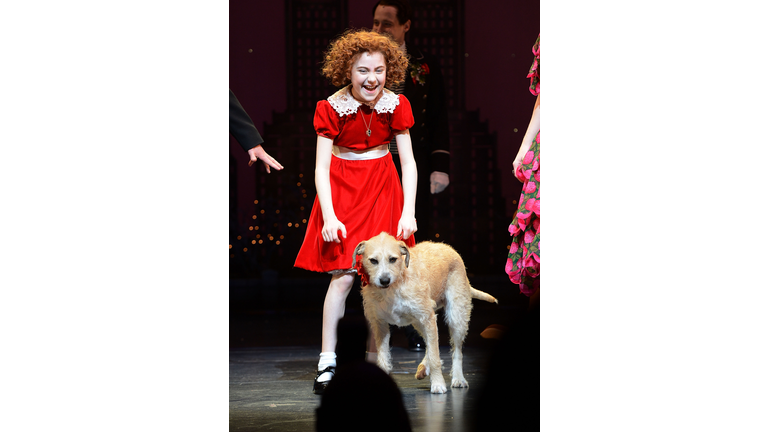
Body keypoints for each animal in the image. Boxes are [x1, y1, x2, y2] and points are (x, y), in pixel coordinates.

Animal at [354, 233, 498, 394]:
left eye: (393, 259)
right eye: (373, 261)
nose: (384, 280)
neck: (395, 284)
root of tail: (447, 247)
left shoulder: (427, 317)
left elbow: (435, 355)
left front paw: (438, 383)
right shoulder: (380, 325)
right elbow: (383, 357)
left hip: (456, 317)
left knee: (456, 351)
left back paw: (458, 377)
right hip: (419, 322)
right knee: (430, 343)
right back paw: (424, 367)